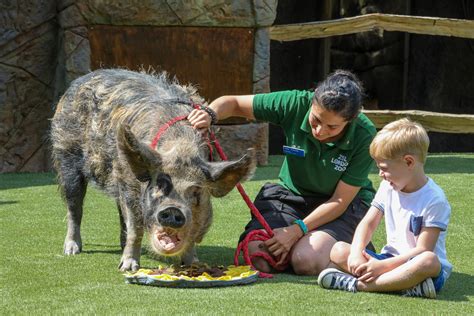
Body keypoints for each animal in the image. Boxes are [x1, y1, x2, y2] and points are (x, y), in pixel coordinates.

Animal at [51, 69, 256, 272]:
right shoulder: (130, 184)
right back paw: (71, 250)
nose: (173, 210)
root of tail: (77, 82)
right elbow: (136, 226)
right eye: (159, 185)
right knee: (74, 207)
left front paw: (194, 265)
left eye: (196, 191)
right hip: (67, 156)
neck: (180, 147)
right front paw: (128, 268)